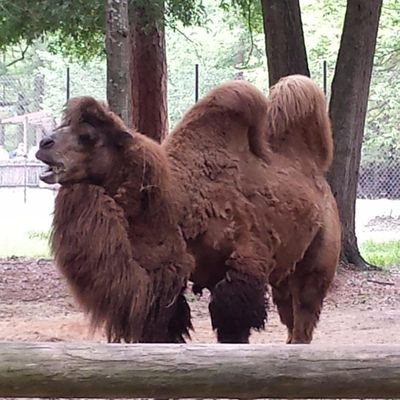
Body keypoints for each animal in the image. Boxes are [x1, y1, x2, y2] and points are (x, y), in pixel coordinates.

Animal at [36, 75, 341, 344]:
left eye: (88, 135)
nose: (43, 144)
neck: (175, 204)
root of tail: (317, 172)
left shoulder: (245, 266)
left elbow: (234, 328)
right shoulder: (162, 280)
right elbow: (163, 329)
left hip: (317, 263)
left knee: (304, 314)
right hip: (284, 274)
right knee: (291, 319)